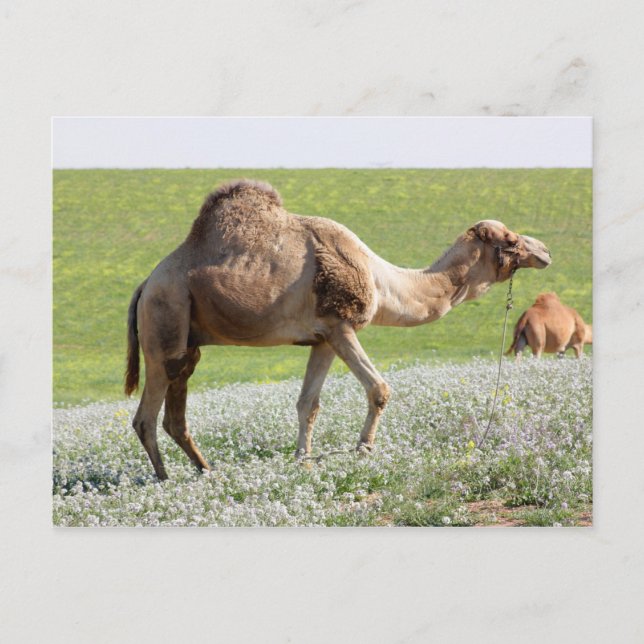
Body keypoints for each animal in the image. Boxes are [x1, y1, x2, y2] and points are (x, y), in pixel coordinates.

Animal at [125, 179, 551, 480]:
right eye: (511, 239)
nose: (545, 251)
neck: (380, 280)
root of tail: (144, 285)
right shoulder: (340, 323)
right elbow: (379, 388)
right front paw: (363, 450)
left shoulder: (322, 339)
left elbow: (307, 403)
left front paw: (303, 461)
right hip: (165, 319)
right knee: (146, 415)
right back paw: (163, 480)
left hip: (188, 340)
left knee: (175, 413)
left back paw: (207, 471)